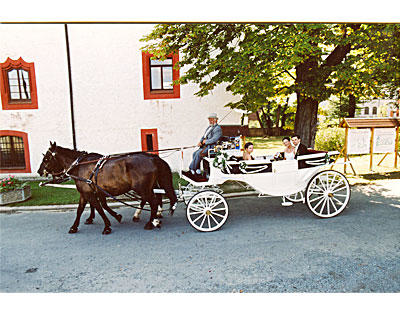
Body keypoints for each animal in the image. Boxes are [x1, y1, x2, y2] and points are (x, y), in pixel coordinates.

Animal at [38, 142, 177, 233]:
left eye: (46, 158)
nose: (39, 171)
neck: (80, 165)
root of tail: (153, 157)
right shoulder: (89, 192)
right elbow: (82, 209)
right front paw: (74, 226)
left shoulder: (89, 193)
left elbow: (99, 208)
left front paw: (106, 226)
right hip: (149, 187)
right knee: (155, 199)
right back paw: (153, 218)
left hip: (142, 188)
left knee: (153, 202)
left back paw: (150, 222)